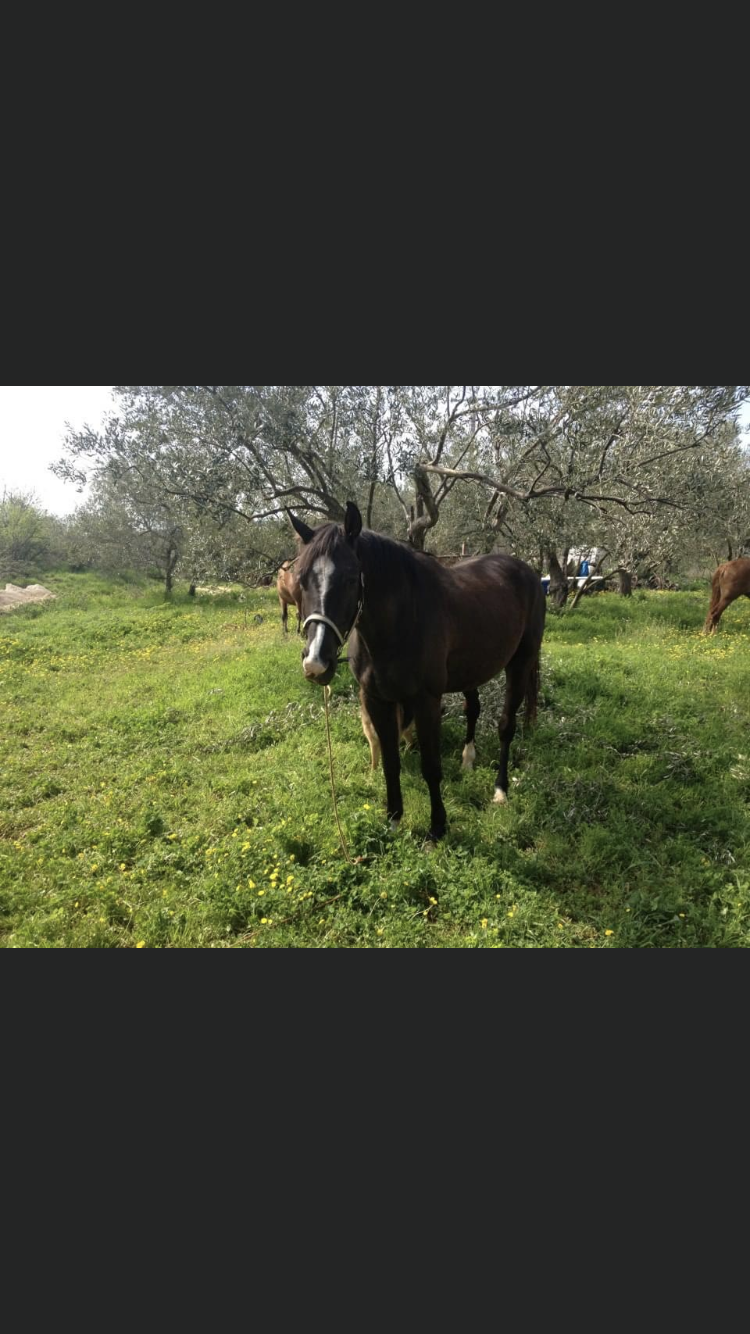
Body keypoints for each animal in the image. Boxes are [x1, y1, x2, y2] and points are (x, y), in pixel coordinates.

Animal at [286, 501, 541, 843]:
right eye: (300, 579)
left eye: (352, 578)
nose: (316, 662)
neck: (400, 623)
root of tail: (526, 571)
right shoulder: (377, 700)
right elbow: (390, 762)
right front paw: (393, 820)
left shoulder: (426, 701)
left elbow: (430, 766)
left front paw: (437, 829)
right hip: (471, 671)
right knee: (472, 709)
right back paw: (468, 760)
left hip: (519, 664)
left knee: (506, 726)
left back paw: (500, 790)